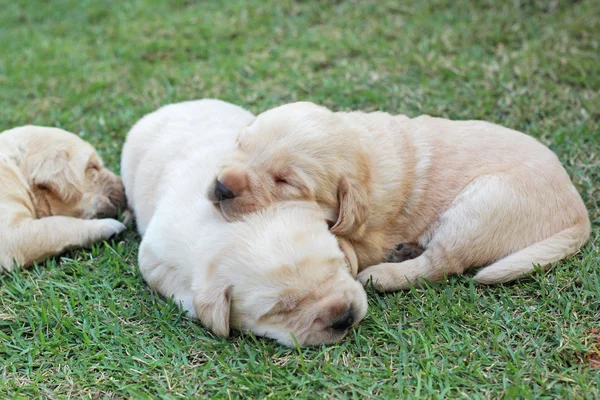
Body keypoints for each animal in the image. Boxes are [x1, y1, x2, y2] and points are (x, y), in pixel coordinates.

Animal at [0, 126, 126, 274]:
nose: (125, 188)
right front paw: (110, 225)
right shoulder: (12, 234)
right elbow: (61, 224)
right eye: (92, 167)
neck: (19, 171)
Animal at [121, 100, 366, 346]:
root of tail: (173, 106)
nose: (344, 317)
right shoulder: (155, 256)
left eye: (336, 266)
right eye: (280, 311)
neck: (236, 225)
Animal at [211, 101, 592, 292]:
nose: (220, 187)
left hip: (483, 205)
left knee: (442, 264)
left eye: (285, 181)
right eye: (241, 144)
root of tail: (580, 213)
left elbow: (348, 241)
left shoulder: (372, 233)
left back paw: (384, 275)